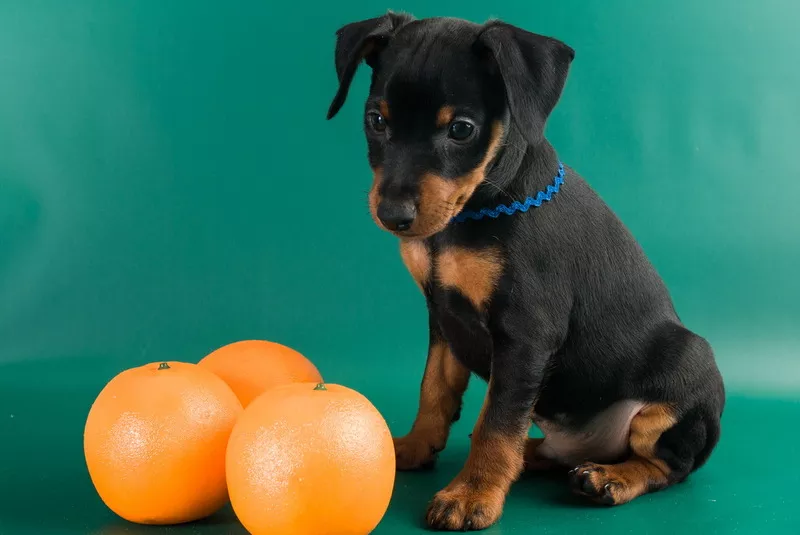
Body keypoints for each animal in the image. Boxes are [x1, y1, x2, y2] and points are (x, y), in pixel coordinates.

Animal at [324, 11, 724, 532]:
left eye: (461, 130)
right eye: (376, 121)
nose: (392, 215)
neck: (471, 213)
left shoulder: (525, 334)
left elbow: (497, 421)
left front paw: (472, 494)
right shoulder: (442, 316)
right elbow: (434, 389)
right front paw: (413, 447)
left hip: (685, 373)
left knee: (668, 466)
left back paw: (610, 478)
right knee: (554, 447)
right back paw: (535, 455)